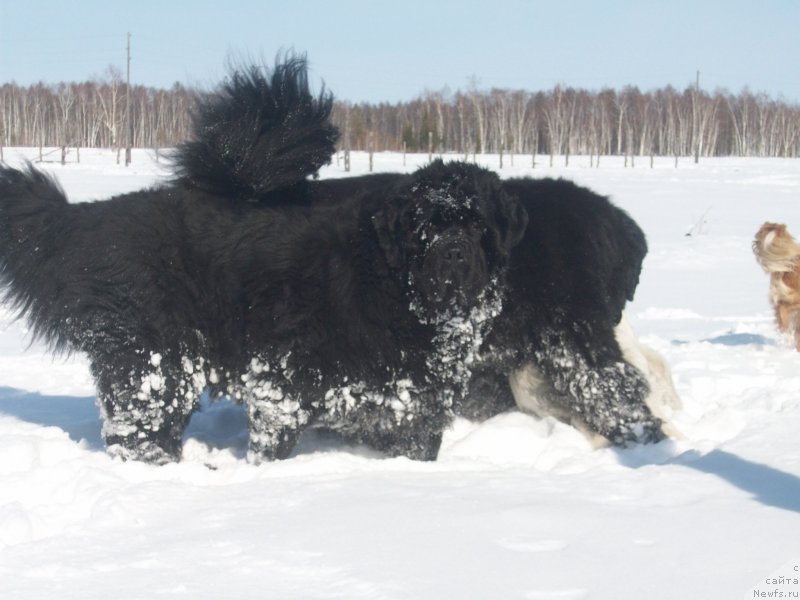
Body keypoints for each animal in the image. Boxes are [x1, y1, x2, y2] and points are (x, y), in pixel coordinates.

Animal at [0, 56, 664, 462]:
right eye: (424, 225)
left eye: (478, 225)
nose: (452, 254)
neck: (393, 291)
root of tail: (86, 219)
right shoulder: (282, 381)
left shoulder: (411, 402)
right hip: (151, 365)